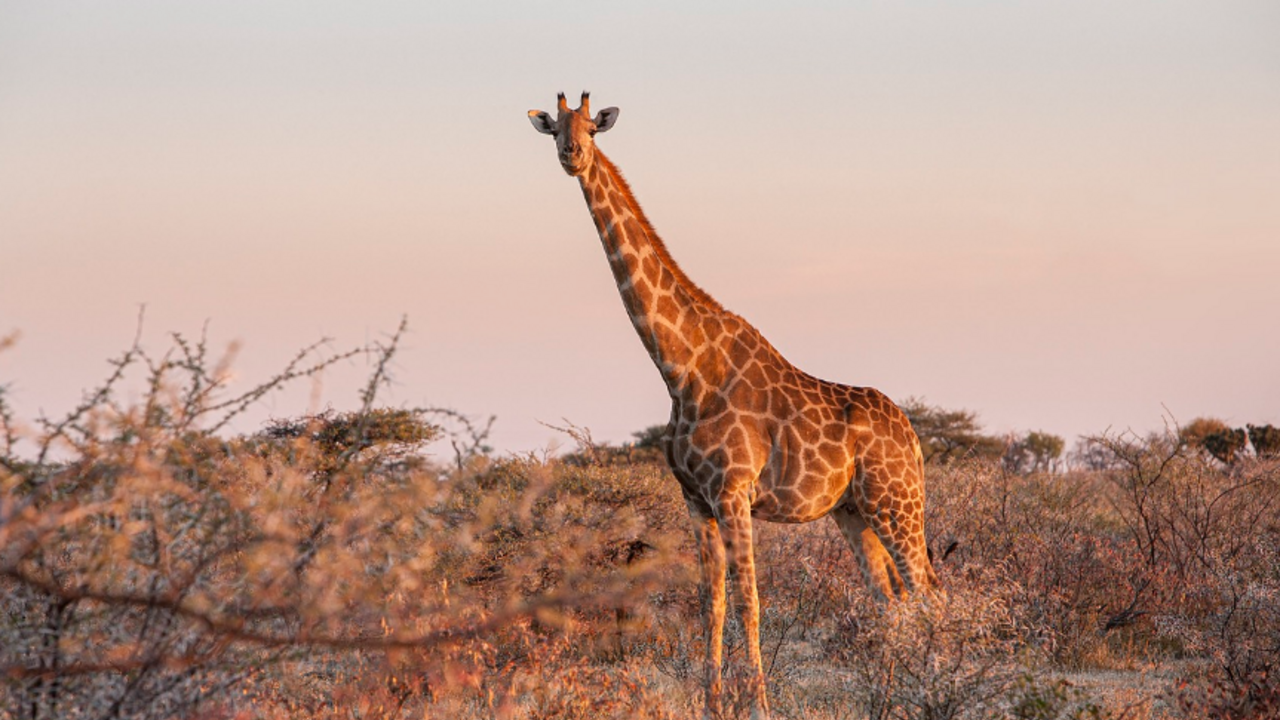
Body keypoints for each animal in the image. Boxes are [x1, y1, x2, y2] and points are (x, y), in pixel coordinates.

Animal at [529, 92, 939, 719]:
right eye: (555, 128)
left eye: (593, 128)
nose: (572, 155)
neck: (681, 368)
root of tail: (913, 437)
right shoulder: (696, 500)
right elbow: (711, 603)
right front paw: (711, 703)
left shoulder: (734, 492)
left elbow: (750, 601)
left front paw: (759, 705)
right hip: (853, 511)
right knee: (889, 598)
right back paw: (888, 699)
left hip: (897, 503)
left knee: (928, 593)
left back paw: (940, 689)